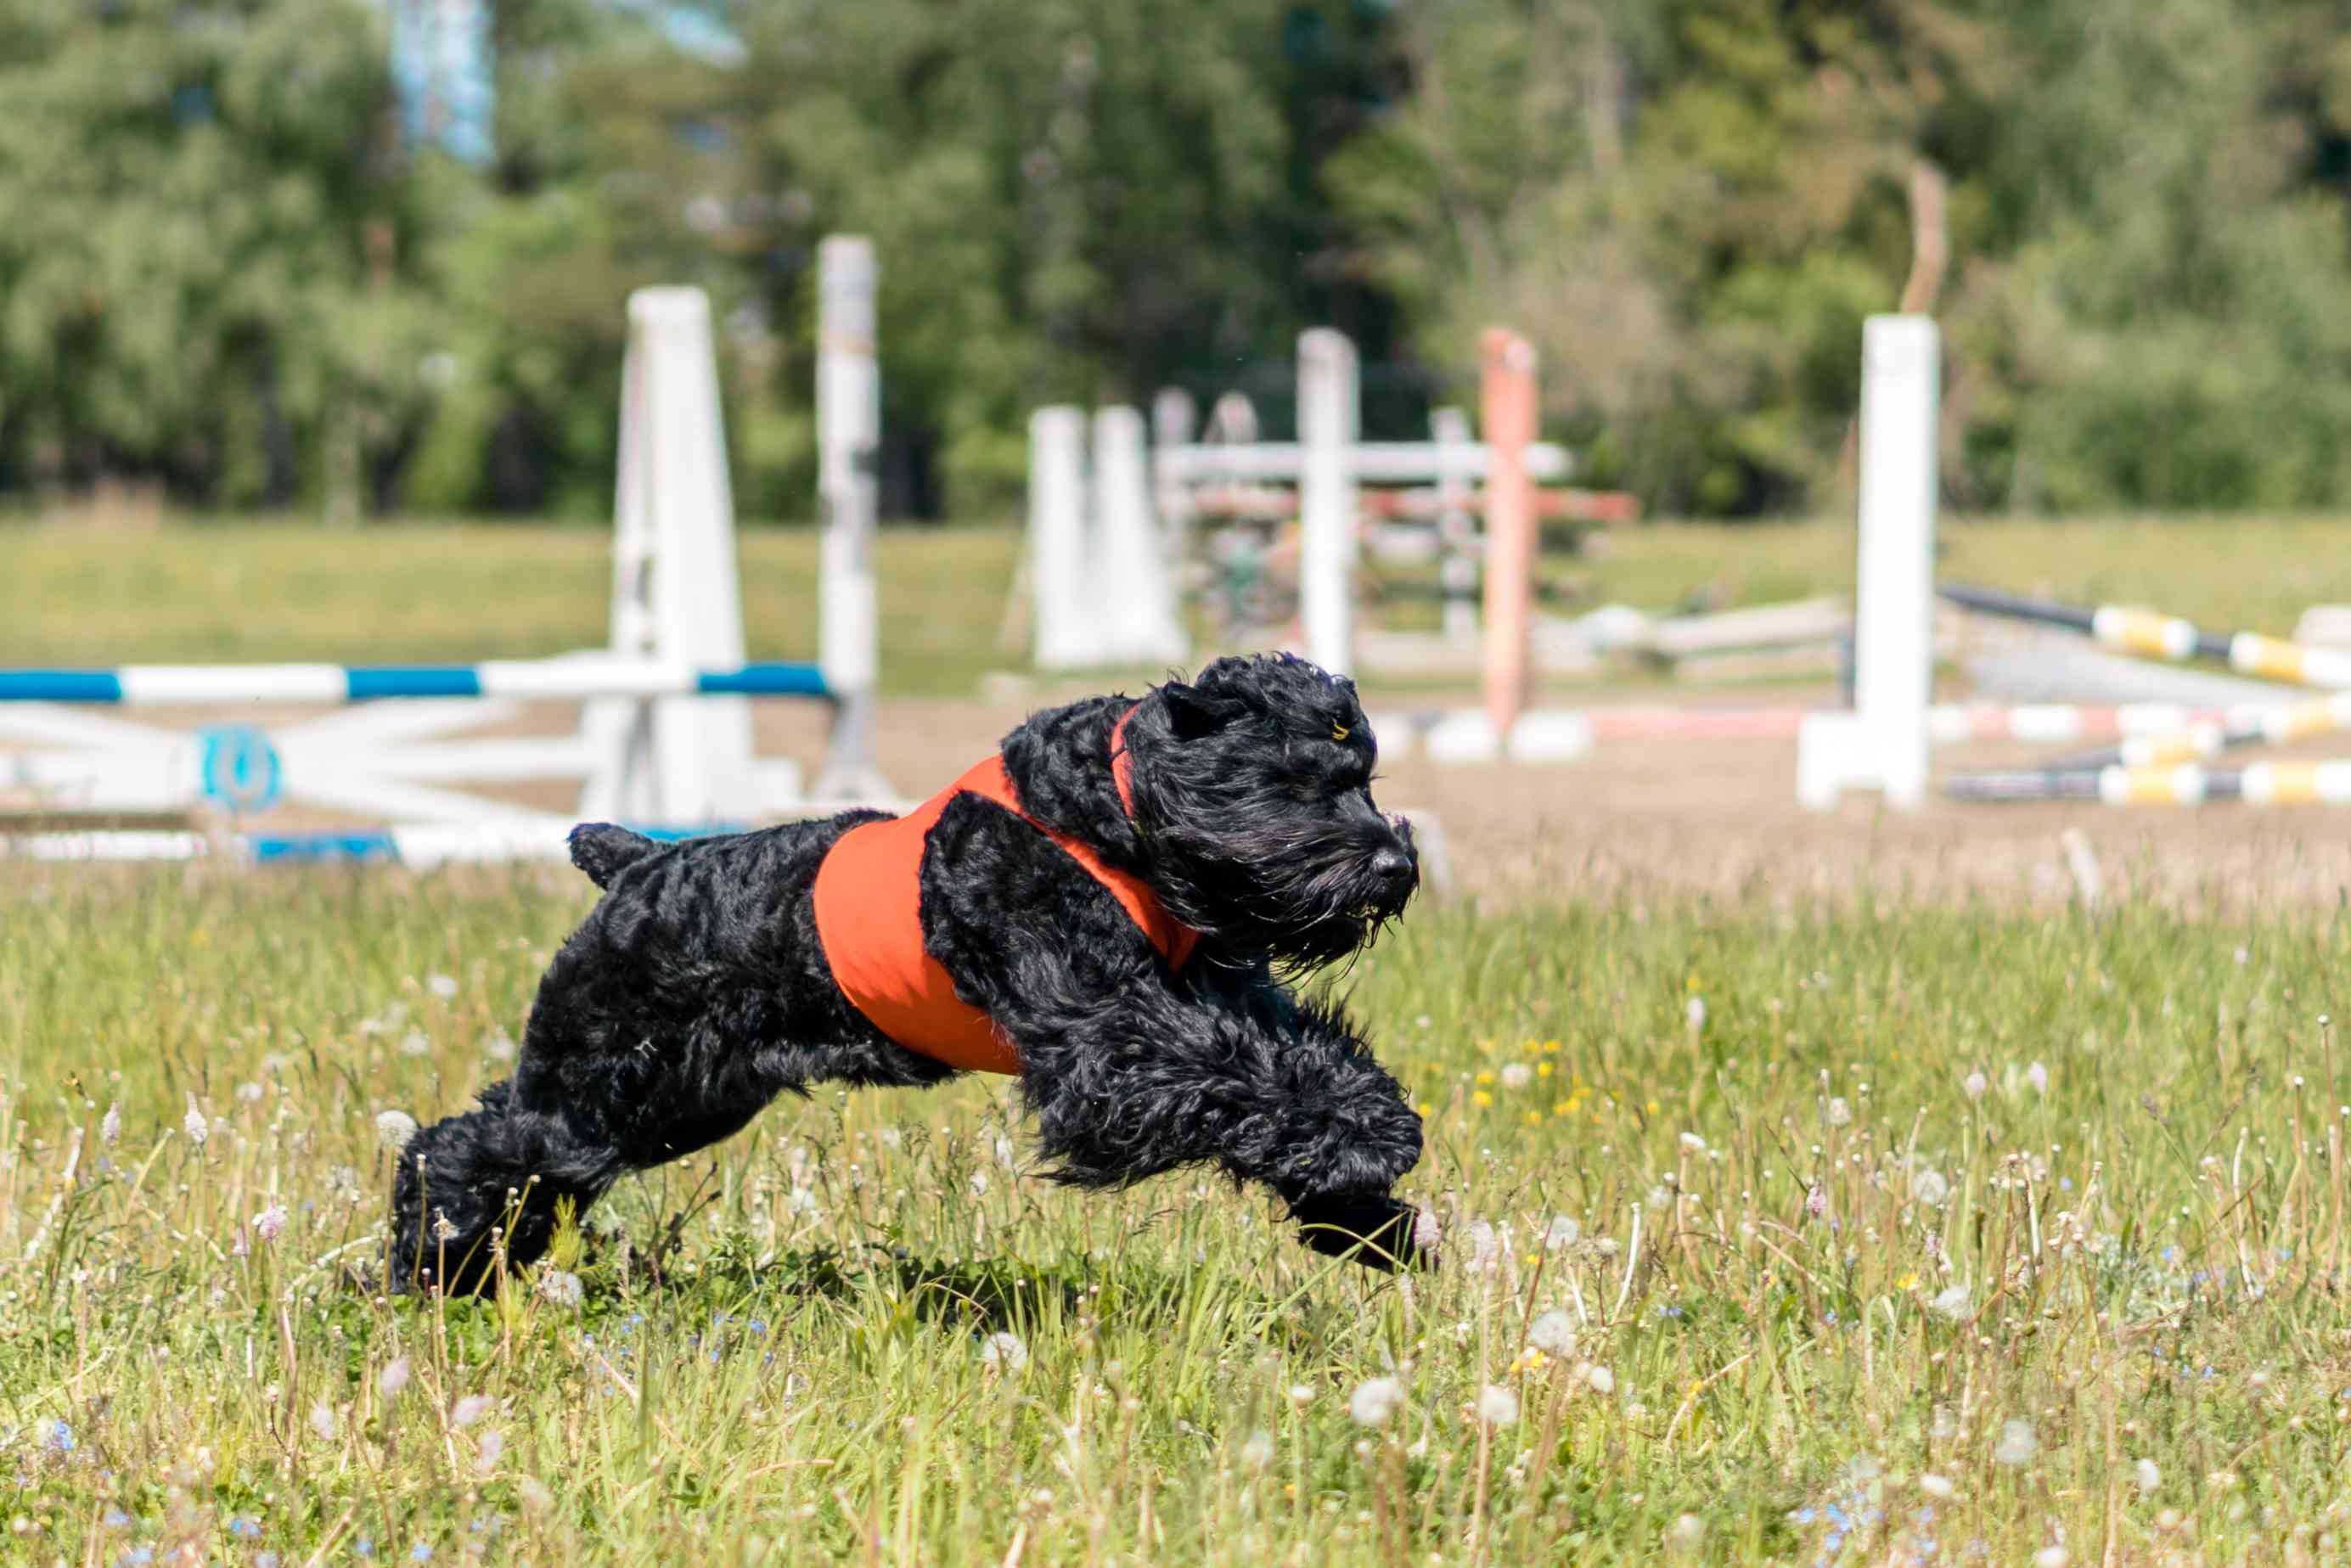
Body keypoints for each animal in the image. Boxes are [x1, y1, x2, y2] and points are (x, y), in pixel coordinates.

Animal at [387, 658, 1420, 1297]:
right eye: (1295, 776)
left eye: (1365, 774)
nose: (1396, 863)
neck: (1105, 816)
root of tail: (637, 865)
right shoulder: (1104, 1045)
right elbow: (1235, 1078)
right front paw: (1375, 1142)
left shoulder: (1217, 998)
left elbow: (1294, 1061)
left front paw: (1367, 1215)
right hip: (602, 1080)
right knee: (458, 1146)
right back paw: (426, 1269)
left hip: (672, 1101)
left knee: (517, 1152)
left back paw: (468, 1268)